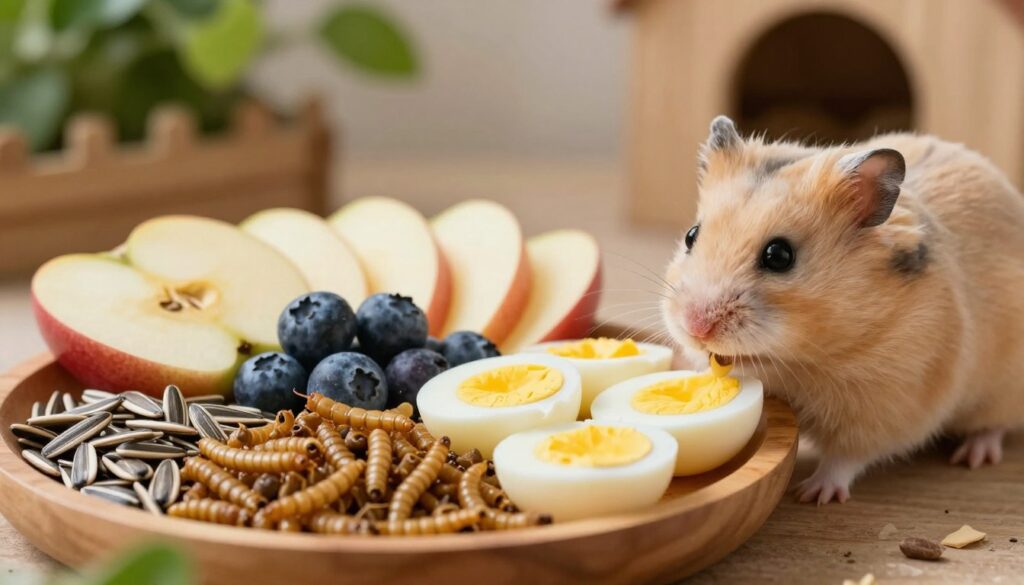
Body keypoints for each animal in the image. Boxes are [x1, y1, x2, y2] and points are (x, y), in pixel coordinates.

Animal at [661, 115, 1024, 504]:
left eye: (779, 256)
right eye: (691, 235)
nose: (696, 328)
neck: (805, 360)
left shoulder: (884, 407)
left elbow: (845, 458)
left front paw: (812, 494)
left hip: (1001, 392)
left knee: (994, 426)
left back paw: (974, 455)